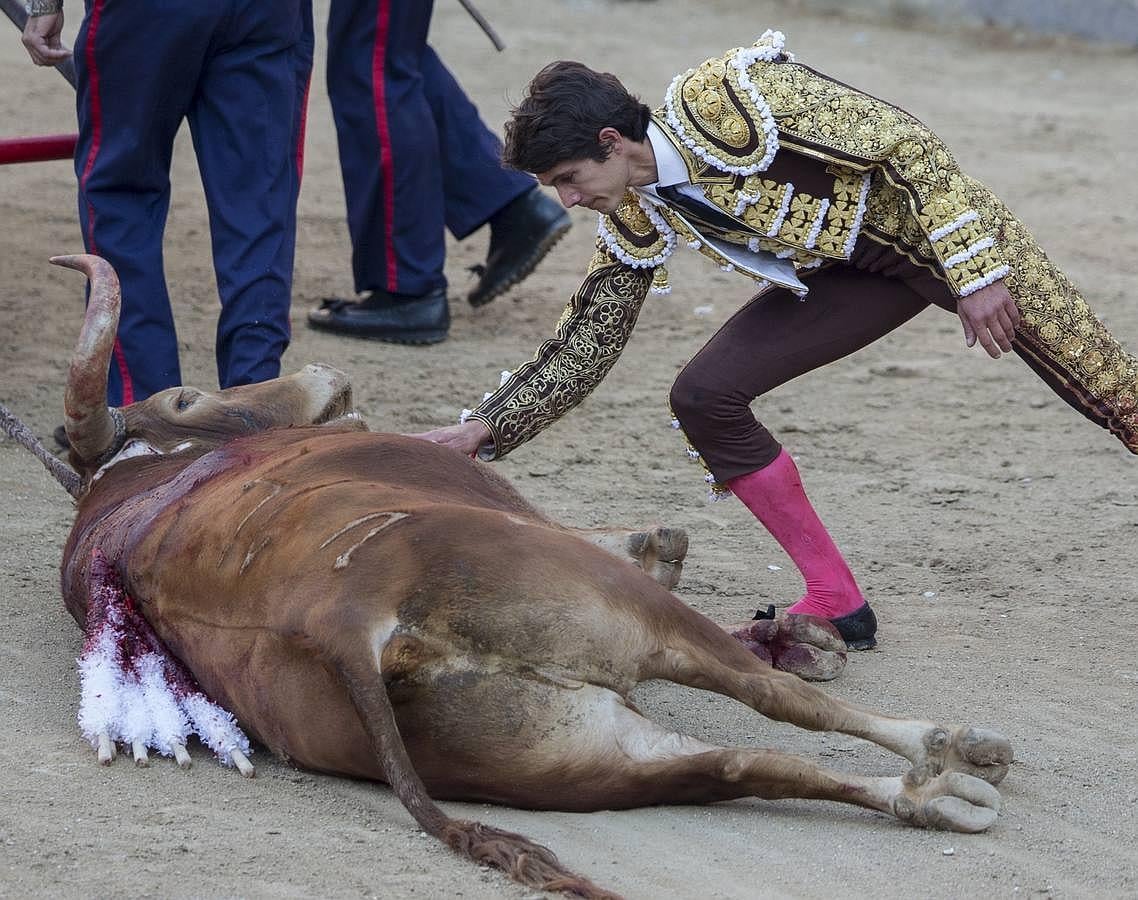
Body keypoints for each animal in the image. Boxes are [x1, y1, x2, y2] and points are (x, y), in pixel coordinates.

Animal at [42, 257, 1015, 896]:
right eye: (182, 397)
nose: (324, 372)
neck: (145, 484)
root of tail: (351, 623)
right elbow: (675, 560)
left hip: (587, 758)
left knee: (742, 764)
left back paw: (940, 796)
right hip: (620, 618)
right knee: (773, 706)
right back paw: (956, 755)